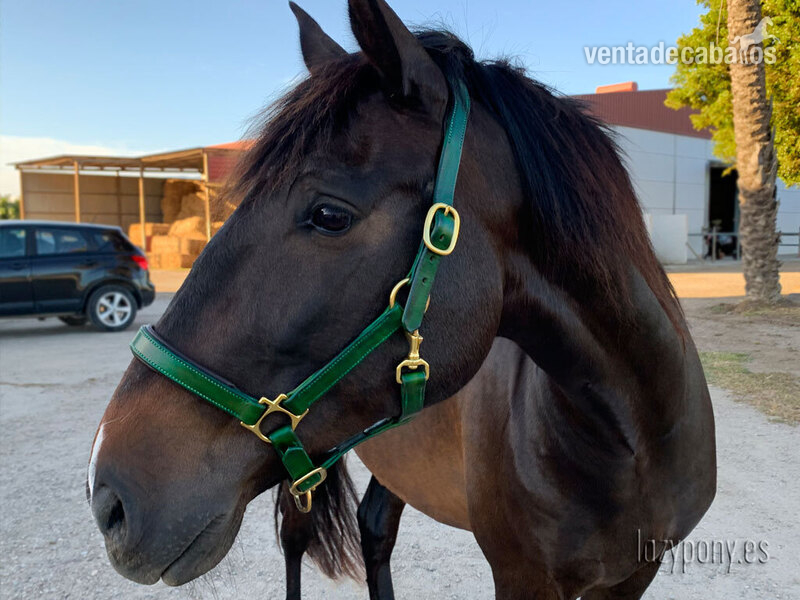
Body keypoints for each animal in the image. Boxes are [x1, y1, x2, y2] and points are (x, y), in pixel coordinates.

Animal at [87, 1, 717, 598]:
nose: (108, 499)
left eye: (329, 215)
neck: (631, 440)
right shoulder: (523, 578)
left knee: (374, 528)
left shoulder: (634, 576)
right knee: (298, 542)